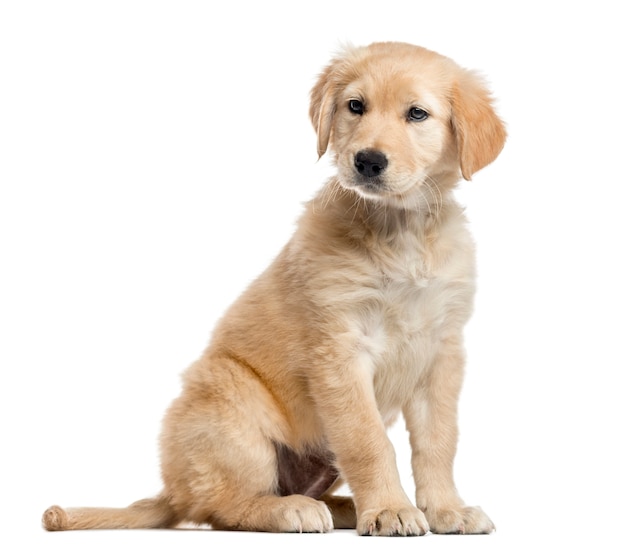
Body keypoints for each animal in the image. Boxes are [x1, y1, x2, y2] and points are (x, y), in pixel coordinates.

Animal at [42, 41, 502, 536]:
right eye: (355, 106)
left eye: (417, 114)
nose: (367, 161)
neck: (401, 230)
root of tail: (173, 490)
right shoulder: (339, 349)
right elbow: (368, 440)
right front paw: (389, 510)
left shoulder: (442, 351)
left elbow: (438, 442)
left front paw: (446, 510)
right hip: (231, 403)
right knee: (222, 507)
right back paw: (291, 509)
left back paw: (339, 506)